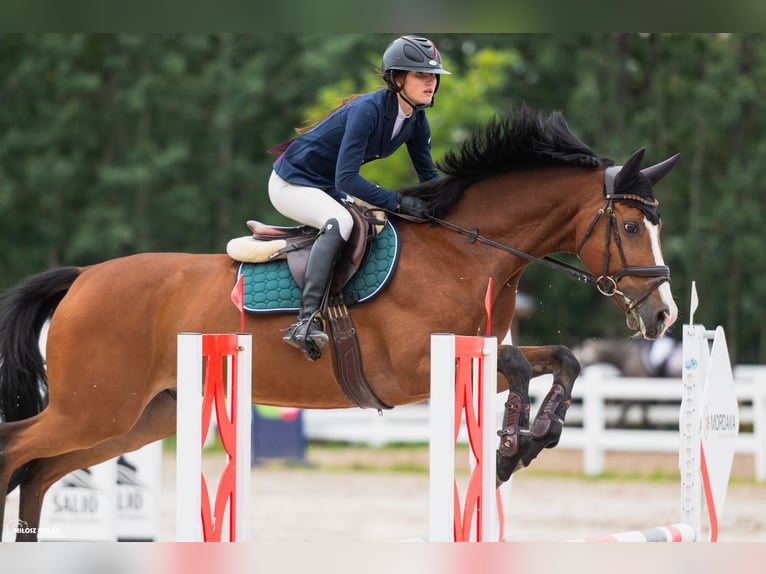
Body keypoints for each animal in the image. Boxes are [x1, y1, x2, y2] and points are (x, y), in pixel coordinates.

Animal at [0, 106, 684, 544]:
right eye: (629, 226)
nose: (664, 314)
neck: (465, 252)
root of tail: (83, 278)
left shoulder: (476, 352)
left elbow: (562, 360)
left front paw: (529, 442)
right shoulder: (413, 368)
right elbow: (519, 366)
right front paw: (513, 445)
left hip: (139, 416)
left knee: (39, 473)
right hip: (92, 409)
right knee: (17, 450)